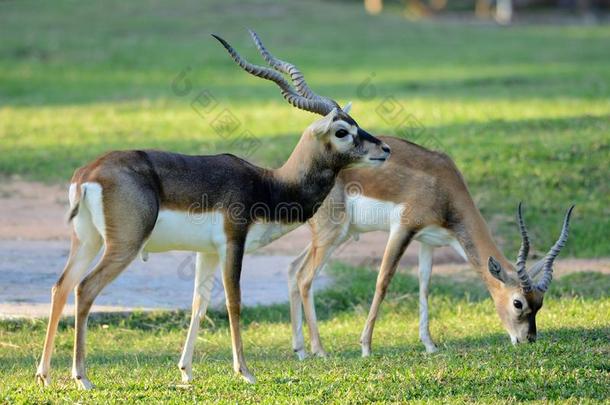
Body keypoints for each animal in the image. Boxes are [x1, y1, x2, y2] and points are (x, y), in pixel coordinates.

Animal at [35, 32, 390, 388]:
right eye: (342, 132)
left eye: (356, 124)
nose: (384, 149)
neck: (270, 185)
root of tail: (89, 173)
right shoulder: (233, 243)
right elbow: (234, 301)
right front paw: (245, 371)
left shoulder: (205, 251)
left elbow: (199, 303)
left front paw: (186, 370)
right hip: (123, 246)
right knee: (85, 289)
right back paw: (82, 377)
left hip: (88, 241)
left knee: (60, 286)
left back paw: (45, 375)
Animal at [284, 136, 568, 356]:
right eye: (518, 303)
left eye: (540, 303)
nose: (527, 339)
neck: (443, 186)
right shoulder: (402, 230)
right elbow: (383, 281)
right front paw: (366, 347)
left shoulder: (428, 241)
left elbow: (424, 285)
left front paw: (429, 345)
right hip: (333, 233)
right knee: (305, 277)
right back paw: (320, 351)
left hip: (334, 236)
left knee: (293, 267)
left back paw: (300, 351)